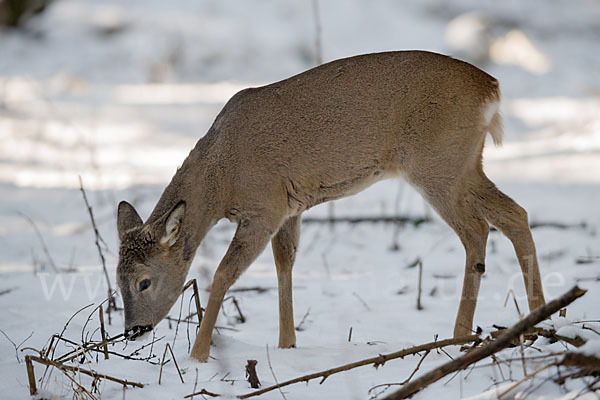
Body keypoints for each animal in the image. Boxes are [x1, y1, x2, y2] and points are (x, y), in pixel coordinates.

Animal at [113, 50, 548, 362]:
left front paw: (199, 355)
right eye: (116, 279)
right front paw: (287, 344)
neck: (221, 178)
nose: (133, 330)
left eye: (143, 281)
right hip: (464, 164)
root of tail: (491, 89)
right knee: (515, 214)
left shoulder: (265, 206)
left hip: (437, 165)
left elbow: (222, 274)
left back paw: (460, 336)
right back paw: (538, 320)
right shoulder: (290, 208)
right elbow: (284, 264)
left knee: (477, 230)